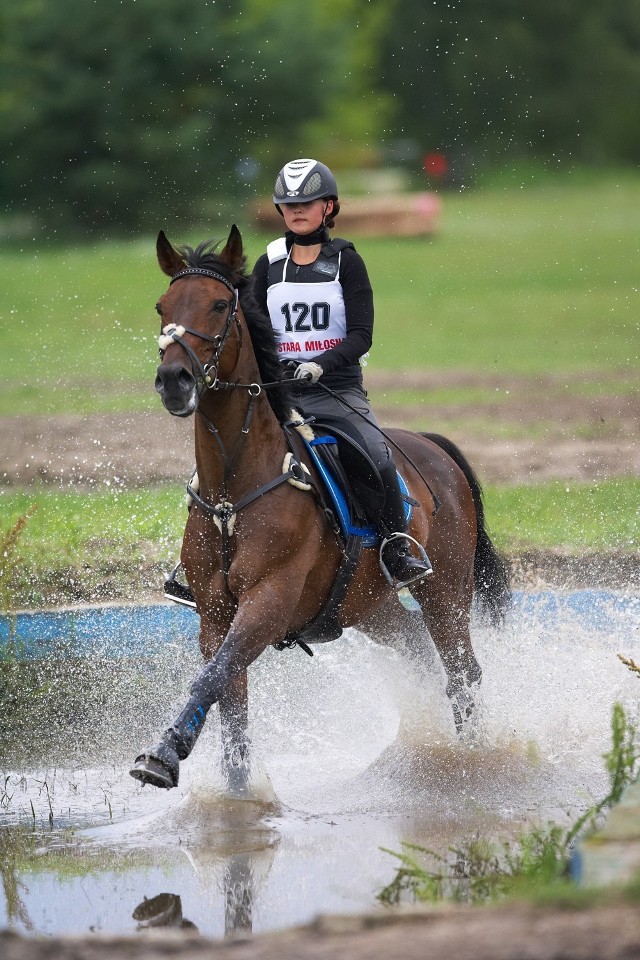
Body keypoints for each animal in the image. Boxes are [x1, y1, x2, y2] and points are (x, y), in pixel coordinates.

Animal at [129, 227, 510, 796]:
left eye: (219, 305)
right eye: (162, 306)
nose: (174, 379)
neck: (232, 492)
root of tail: (433, 447)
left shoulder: (268, 603)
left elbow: (212, 679)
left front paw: (163, 753)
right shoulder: (216, 615)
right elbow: (229, 701)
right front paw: (237, 794)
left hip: (445, 589)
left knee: (462, 671)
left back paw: (474, 759)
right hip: (371, 607)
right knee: (420, 653)